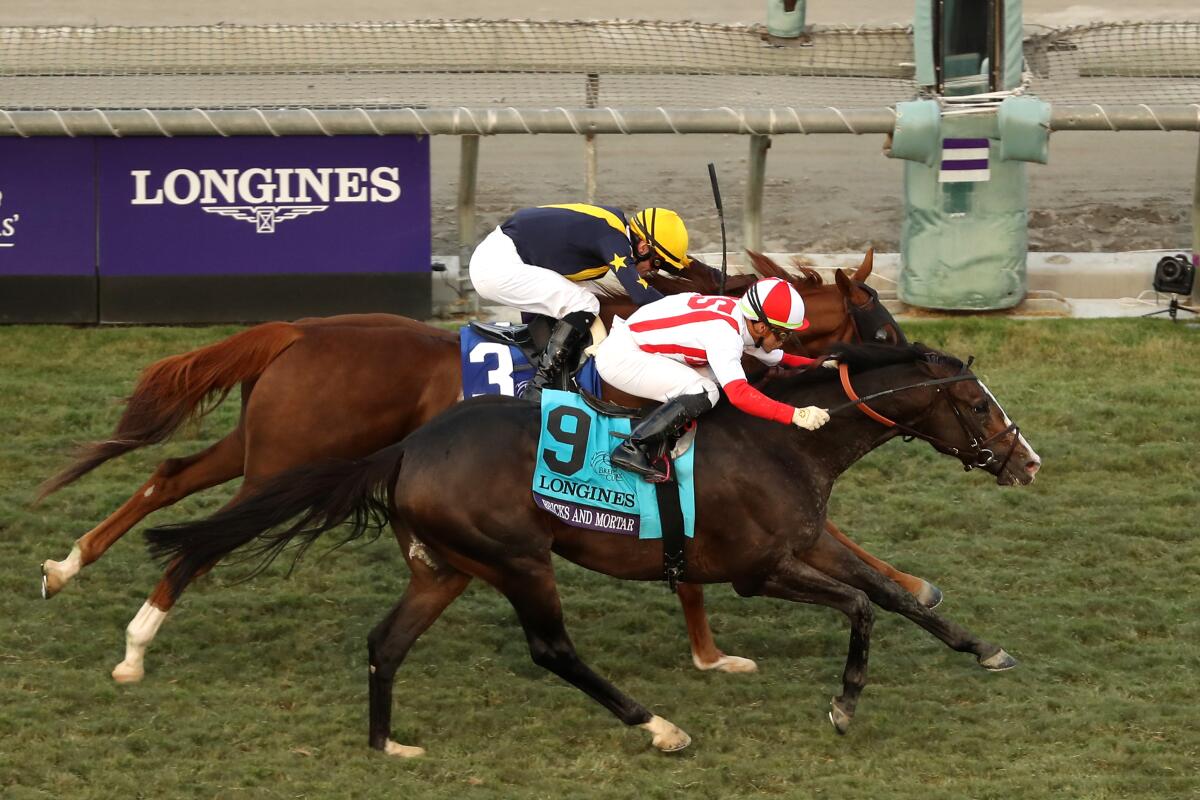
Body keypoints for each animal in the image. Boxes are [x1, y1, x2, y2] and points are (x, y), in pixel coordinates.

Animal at [32, 250, 921, 681]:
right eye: (882, 333)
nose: (915, 364)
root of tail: (296, 329)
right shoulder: (658, 454)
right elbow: (711, 563)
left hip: (269, 447)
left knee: (171, 478)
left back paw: (68, 567)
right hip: (286, 457)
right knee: (209, 533)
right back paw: (135, 645)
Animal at [140, 340, 1041, 753]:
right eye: (976, 405)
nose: (1027, 461)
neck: (785, 440)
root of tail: (407, 448)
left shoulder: (806, 541)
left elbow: (889, 594)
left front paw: (987, 649)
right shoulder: (760, 570)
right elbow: (861, 606)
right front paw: (845, 702)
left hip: (448, 569)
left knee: (385, 642)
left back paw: (386, 743)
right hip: (517, 559)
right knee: (551, 649)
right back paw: (658, 725)